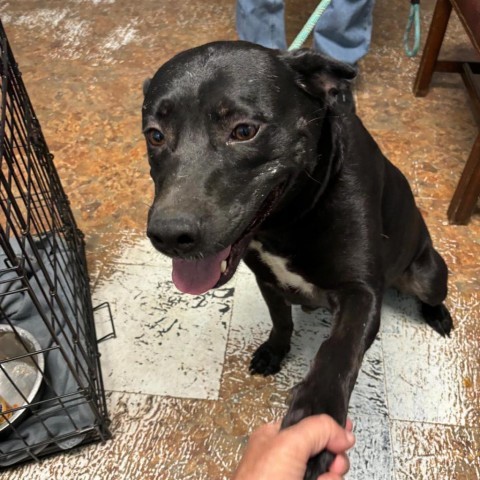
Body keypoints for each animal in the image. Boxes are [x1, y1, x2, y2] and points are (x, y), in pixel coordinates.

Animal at [141, 41, 452, 476]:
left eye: (244, 131)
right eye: (154, 135)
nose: (169, 235)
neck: (289, 219)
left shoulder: (360, 293)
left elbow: (337, 352)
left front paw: (314, 417)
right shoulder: (267, 278)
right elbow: (280, 319)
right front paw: (275, 350)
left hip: (428, 271)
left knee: (433, 291)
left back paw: (437, 315)